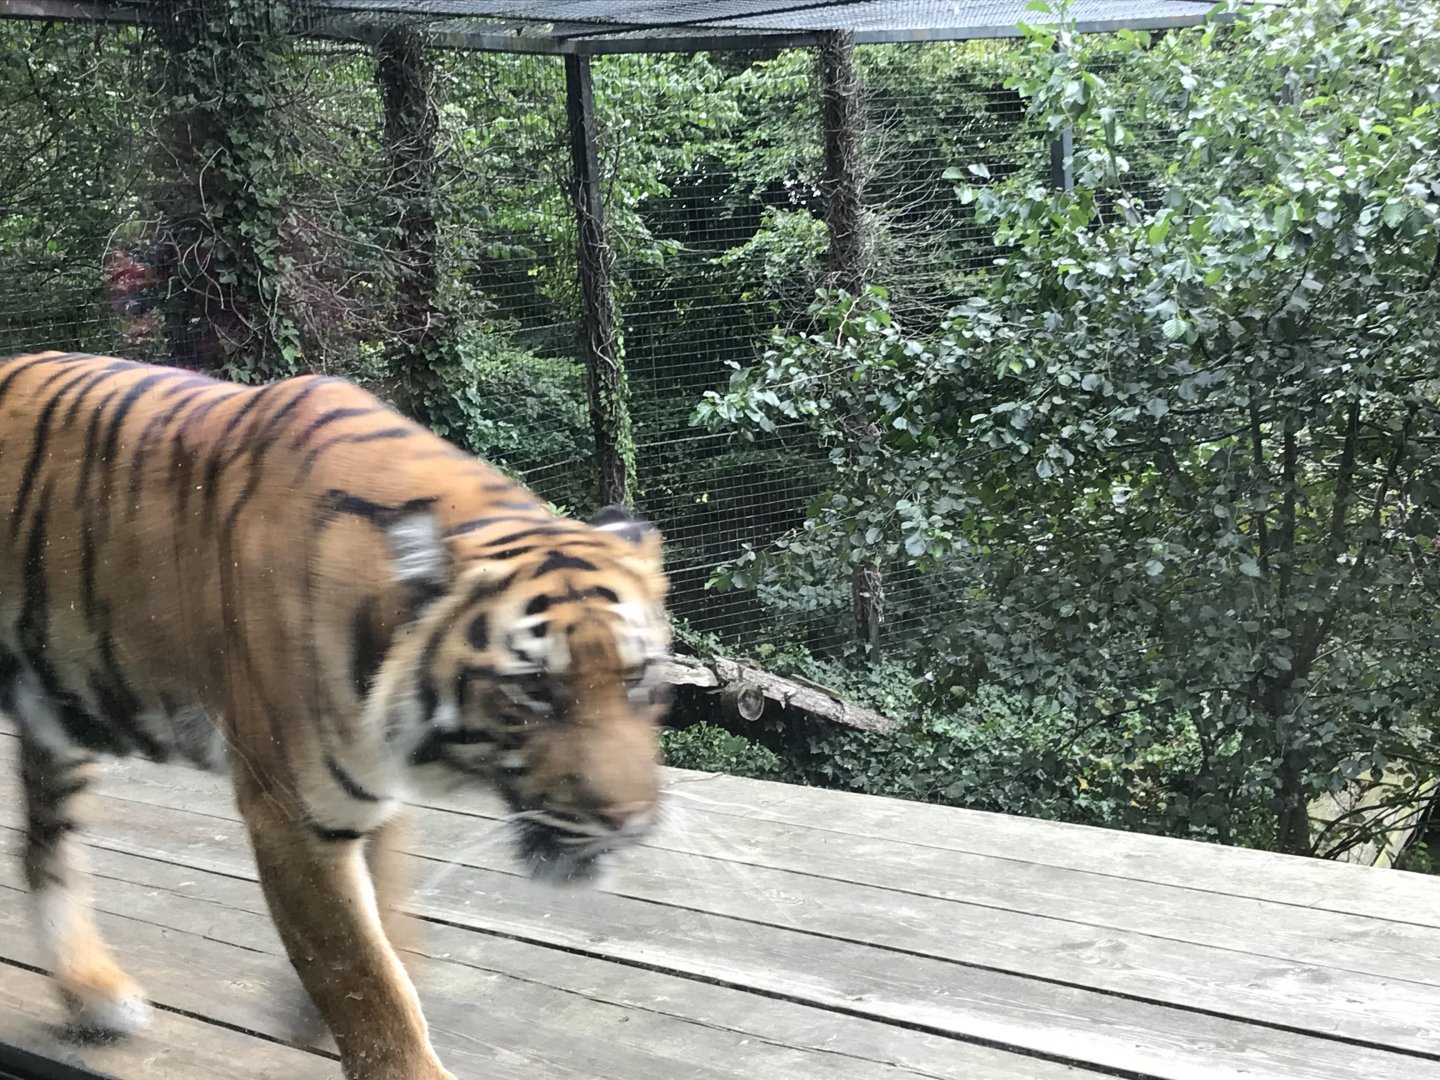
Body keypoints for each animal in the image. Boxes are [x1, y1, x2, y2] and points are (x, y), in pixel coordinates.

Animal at [0, 350, 673, 1080]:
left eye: (639, 677)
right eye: (534, 688)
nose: (629, 821)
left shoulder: (370, 790)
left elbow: (390, 915)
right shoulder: (295, 814)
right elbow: (362, 977)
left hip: (57, 714)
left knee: (43, 849)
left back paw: (93, 996)